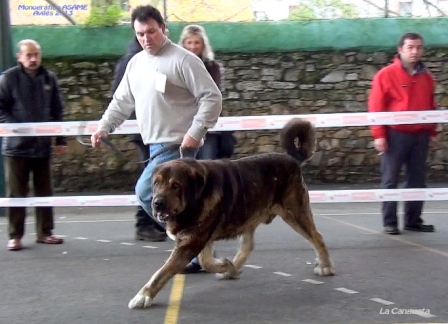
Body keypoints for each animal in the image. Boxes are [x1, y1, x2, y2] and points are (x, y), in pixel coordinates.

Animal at [128, 118, 334, 308]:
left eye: (175, 186)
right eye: (156, 183)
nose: (157, 203)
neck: (198, 196)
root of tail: (292, 158)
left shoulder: (190, 243)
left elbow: (162, 272)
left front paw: (143, 296)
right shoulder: (199, 238)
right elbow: (205, 261)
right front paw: (226, 265)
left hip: (295, 212)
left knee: (317, 237)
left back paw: (325, 266)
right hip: (249, 214)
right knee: (248, 246)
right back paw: (231, 269)